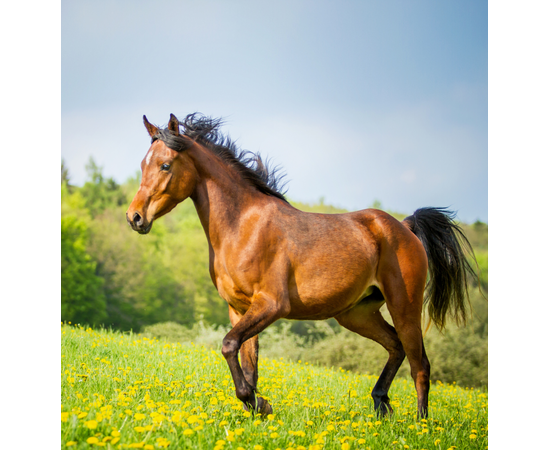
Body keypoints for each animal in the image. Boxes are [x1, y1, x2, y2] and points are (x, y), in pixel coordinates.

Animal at [126, 113, 478, 419]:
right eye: (143, 165)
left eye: (165, 165)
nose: (135, 217)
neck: (243, 226)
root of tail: (404, 228)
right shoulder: (239, 309)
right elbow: (247, 362)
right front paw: (258, 407)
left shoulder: (271, 304)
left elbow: (228, 346)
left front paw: (258, 404)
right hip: (357, 314)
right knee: (396, 347)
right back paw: (382, 405)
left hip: (404, 305)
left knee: (420, 365)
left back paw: (420, 423)